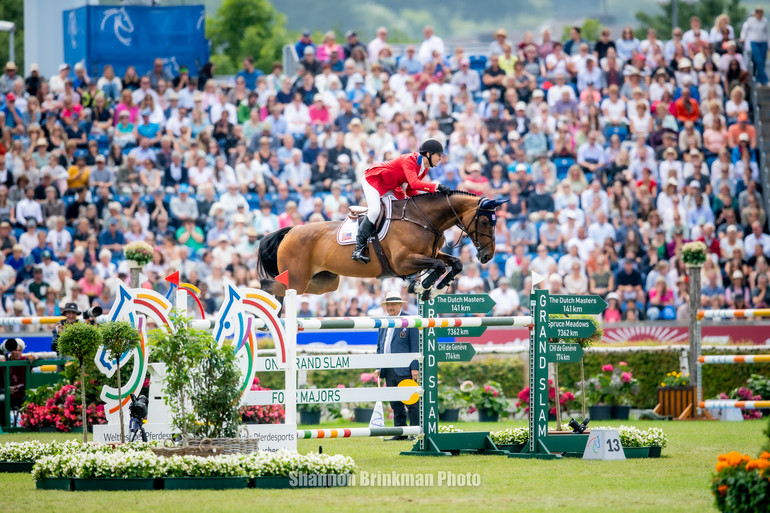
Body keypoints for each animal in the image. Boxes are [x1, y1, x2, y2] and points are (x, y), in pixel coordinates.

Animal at [256, 191, 504, 296]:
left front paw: (436, 287)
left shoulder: (431, 253)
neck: (423, 219)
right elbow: (439, 265)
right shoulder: (403, 262)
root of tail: (291, 231)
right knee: (272, 286)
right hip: (297, 279)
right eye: (484, 221)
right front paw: (423, 285)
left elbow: (454, 263)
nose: (487, 256)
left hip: (323, 282)